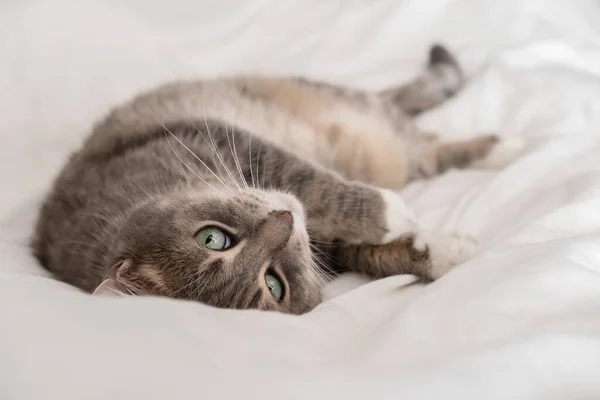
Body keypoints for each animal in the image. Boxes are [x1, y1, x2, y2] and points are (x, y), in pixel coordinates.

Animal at [32, 45, 524, 314]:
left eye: (211, 238)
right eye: (273, 284)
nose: (284, 221)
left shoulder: (216, 138)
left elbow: (305, 177)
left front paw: (389, 212)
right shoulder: (324, 249)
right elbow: (375, 254)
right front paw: (440, 250)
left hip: (348, 107)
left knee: (418, 136)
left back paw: (506, 148)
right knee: (422, 154)